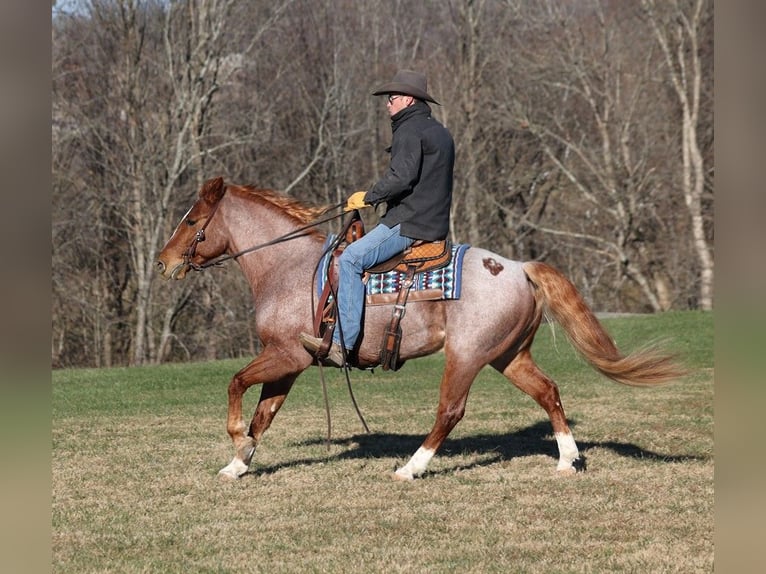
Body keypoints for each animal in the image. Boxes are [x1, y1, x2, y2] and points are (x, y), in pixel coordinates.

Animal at [159, 178, 688, 484]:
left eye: (192, 219)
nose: (164, 262)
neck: (290, 269)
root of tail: (518, 268)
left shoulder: (287, 355)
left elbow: (236, 385)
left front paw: (236, 443)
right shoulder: (290, 363)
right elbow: (264, 413)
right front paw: (239, 462)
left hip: (467, 357)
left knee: (450, 412)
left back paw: (411, 468)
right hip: (509, 356)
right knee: (549, 392)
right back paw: (566, 460)